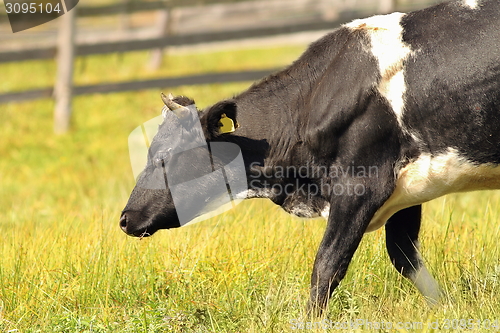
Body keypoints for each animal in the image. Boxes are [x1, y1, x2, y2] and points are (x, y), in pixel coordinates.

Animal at [120, 0, 500, 312]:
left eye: (163, 156)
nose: (124, 218)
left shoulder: (361, 186)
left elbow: (327, 264)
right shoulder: (408, 188)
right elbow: (404, 255)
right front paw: (444, 309)